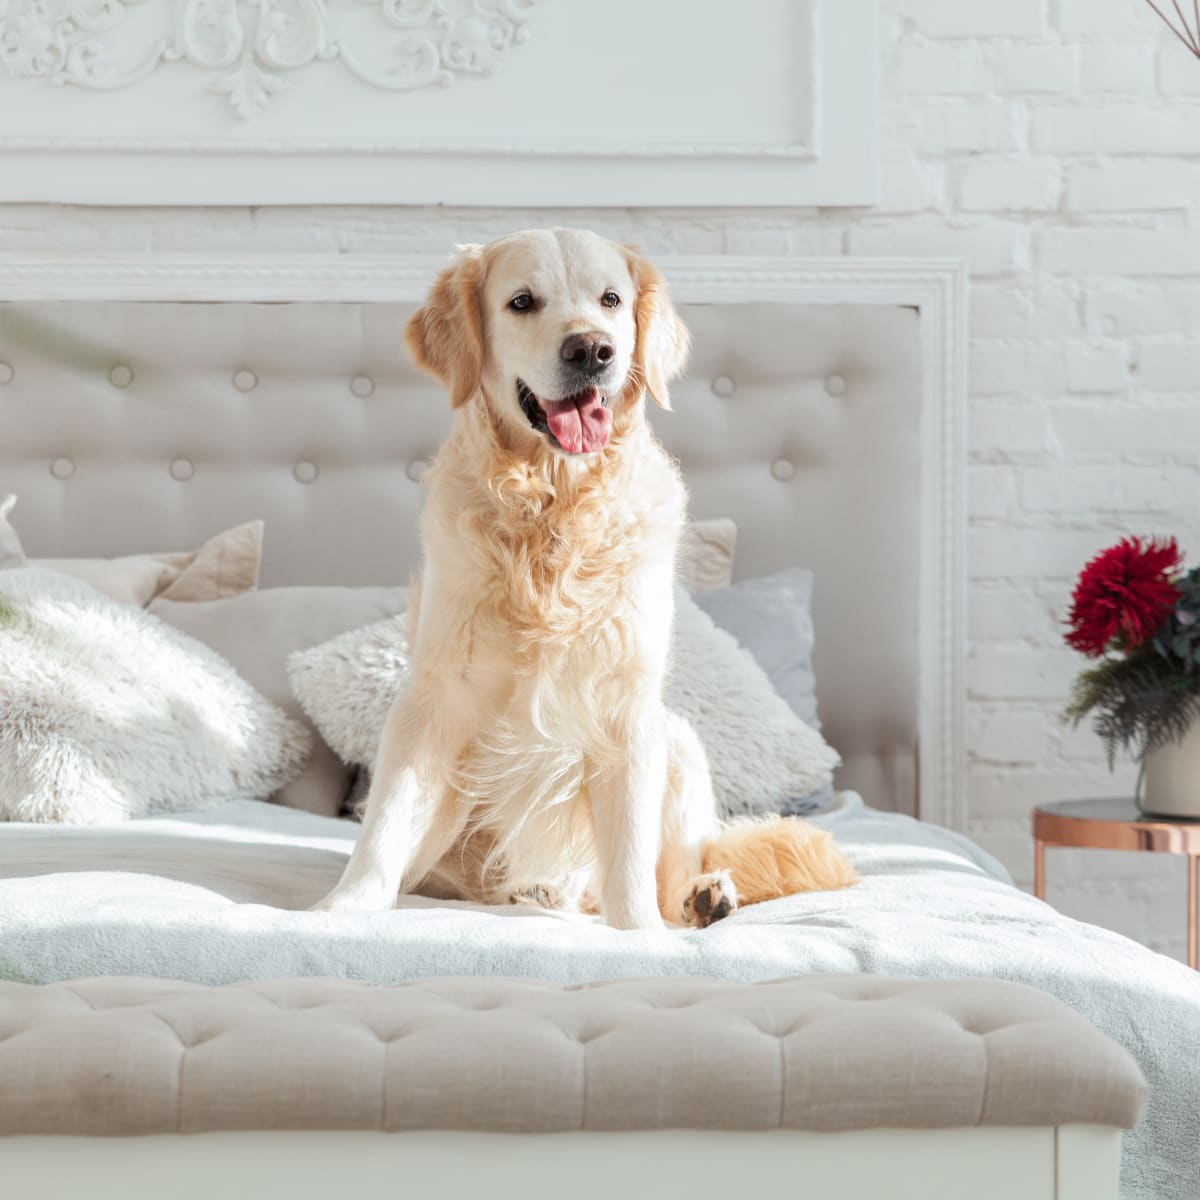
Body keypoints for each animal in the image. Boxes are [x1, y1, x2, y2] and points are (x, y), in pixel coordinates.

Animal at [312, 229, 854, 931]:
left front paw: (639, 933)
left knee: (674, 863)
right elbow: (386, 819)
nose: (592, 349)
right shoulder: (434, 693)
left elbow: (630, 860)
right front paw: (344, 906)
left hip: (679, 743)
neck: (552, 508)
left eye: (611, 300)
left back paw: (701, 895)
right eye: (521, 301)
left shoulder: (628, 707)